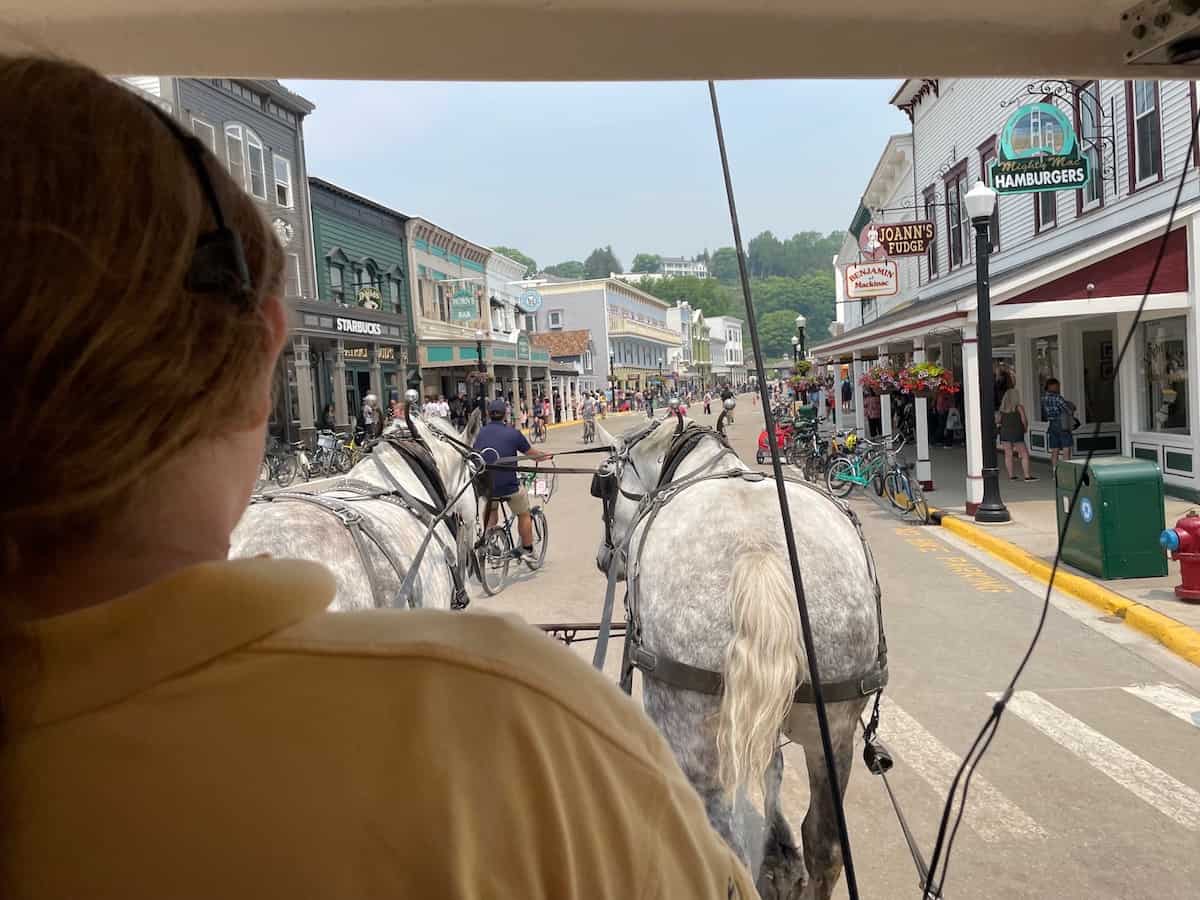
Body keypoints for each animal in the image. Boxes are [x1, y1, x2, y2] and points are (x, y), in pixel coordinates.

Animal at [592, 417, 883, 900]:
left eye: (607, 488)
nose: (603, 559)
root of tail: (757, 552)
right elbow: (772, 768)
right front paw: (781, 855)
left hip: (687, 723)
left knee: (729, 844)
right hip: (835, 723)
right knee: (824, 841)